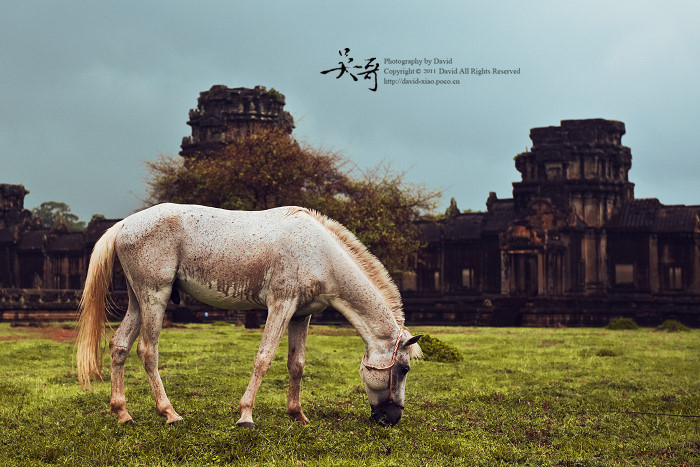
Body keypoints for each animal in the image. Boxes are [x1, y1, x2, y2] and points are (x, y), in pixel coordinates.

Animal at [75, 205, 422, 428]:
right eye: (403, 369)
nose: (393, 419)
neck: (320, 252)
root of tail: (124, 225)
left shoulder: (301, 316)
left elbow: (296, 364)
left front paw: (298, 416)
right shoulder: (281, 305)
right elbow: (264, 358)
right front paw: (245, 417)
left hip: (138, 301)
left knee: (119, 346)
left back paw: (123, 414)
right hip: (154, 297)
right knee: (148, 351)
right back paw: (169, 413)